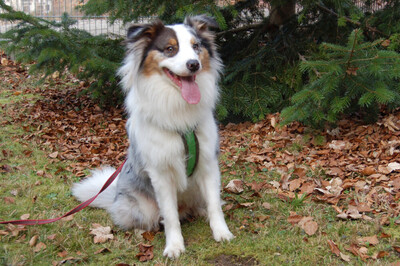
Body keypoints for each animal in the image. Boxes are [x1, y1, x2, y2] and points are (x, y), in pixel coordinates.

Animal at [72, 15, 234, 258]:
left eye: (196, 47)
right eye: (170, 49)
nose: (193, 64)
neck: (178, 110)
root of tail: (115, 194)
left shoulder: (208, 163)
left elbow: (214, 204)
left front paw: (221, 232)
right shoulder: (161, 173)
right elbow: (170, 215)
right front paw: (174, 245)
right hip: (143, 207)